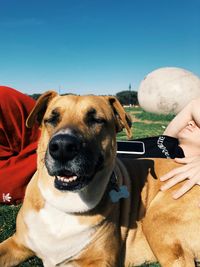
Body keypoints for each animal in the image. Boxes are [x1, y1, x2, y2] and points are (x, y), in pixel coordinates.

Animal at [0, 91, 200, 266]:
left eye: (96, 120)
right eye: (52, 119)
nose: (63, 147)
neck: (65, 202)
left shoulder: (100, 260)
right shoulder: (17, 243)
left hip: (157, 217)